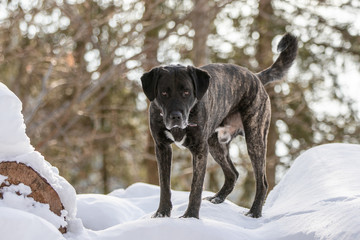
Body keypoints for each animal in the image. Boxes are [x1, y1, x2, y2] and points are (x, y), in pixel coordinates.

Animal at [141, 32, 298, 218]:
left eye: (186, 92)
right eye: (164, 93)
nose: (175, 116)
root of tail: (255, 77)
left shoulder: (200, 149)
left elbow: (196, 187)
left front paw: (190, 216)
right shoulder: (162, 147)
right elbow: (165, 186)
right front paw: (162, 213)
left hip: (255, 139)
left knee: (262, 181)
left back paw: (254, 212)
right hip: (216, 145)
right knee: (233, 174)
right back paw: (217, 198)